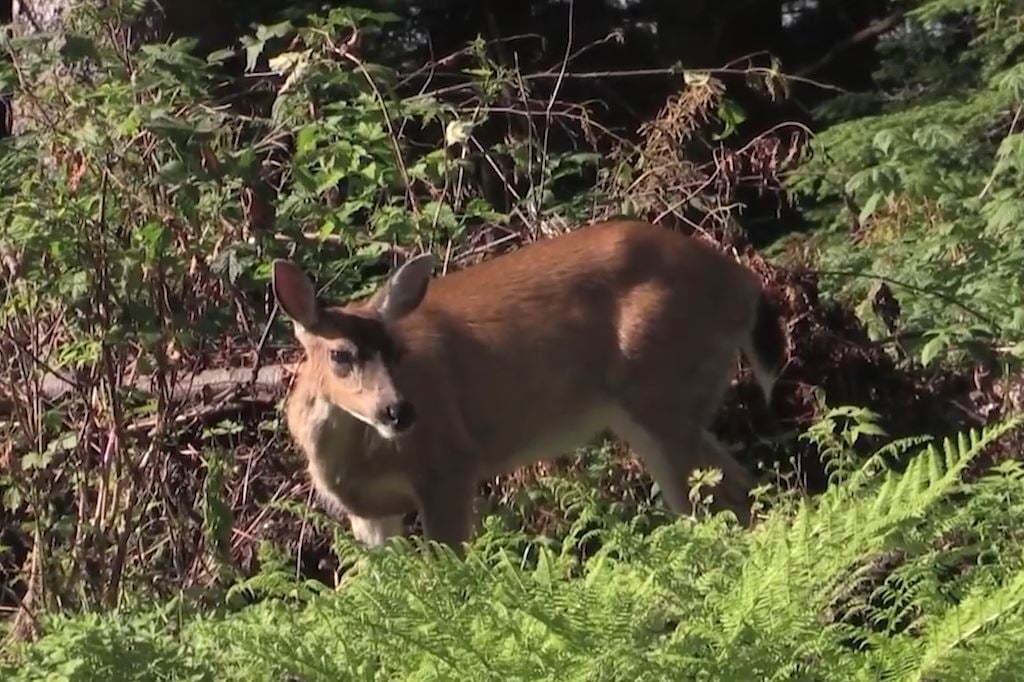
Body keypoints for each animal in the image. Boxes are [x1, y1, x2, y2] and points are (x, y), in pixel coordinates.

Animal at [271, 219, 786, 552]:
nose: (399, 411)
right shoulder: (371, 514)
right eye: (340, 354)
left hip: (662, 388)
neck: (355, 460)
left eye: (397, 351)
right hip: (664, 404)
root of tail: (740, 282)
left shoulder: (449, 465)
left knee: (712, 501)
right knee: (740, 487)